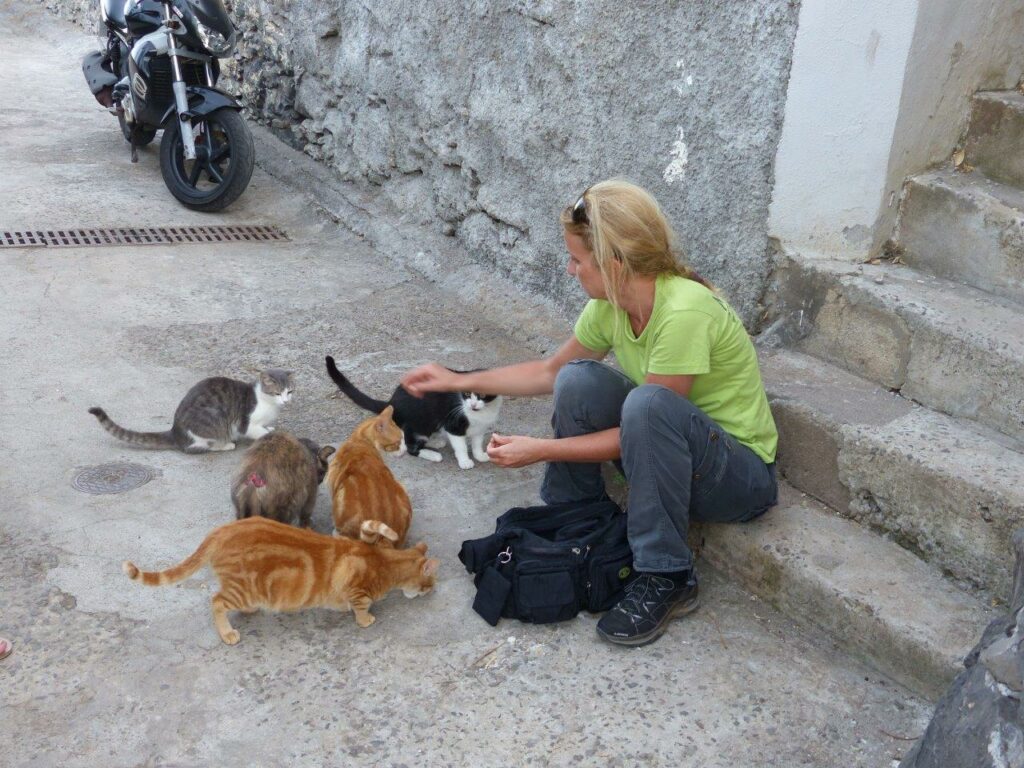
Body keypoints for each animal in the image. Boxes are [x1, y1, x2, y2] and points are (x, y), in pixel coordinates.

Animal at [89, 370, 294, 454]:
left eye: (289, 391)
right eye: (277, 393)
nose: (286, 400)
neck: (267, 401)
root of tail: (175, 431)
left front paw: (269, 429)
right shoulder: (247, 423)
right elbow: (257, 431)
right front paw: (269, 434)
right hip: (214, 422)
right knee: (198, 447)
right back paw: (226, 445)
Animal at [120, 514, 440, 647]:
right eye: (429, 584)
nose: (432, 592)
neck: (384, 562)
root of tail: (221, 530)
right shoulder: (357, 586)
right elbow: (361, 606)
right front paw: (365, 619)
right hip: (243, 588)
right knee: (217, 601)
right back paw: (227, 633)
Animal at [325, 356, 501, 468]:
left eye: (482, 395)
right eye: (466, 393)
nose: (473, 404)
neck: (481, 412)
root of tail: (392, 402)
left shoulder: (480, 427)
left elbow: (477, 442)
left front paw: (480, 455)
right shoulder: (453, 424)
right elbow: (461, 445)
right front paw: (465, 461)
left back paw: (435, 441)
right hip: (418, 422)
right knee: (410, 446)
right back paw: (433, 454)